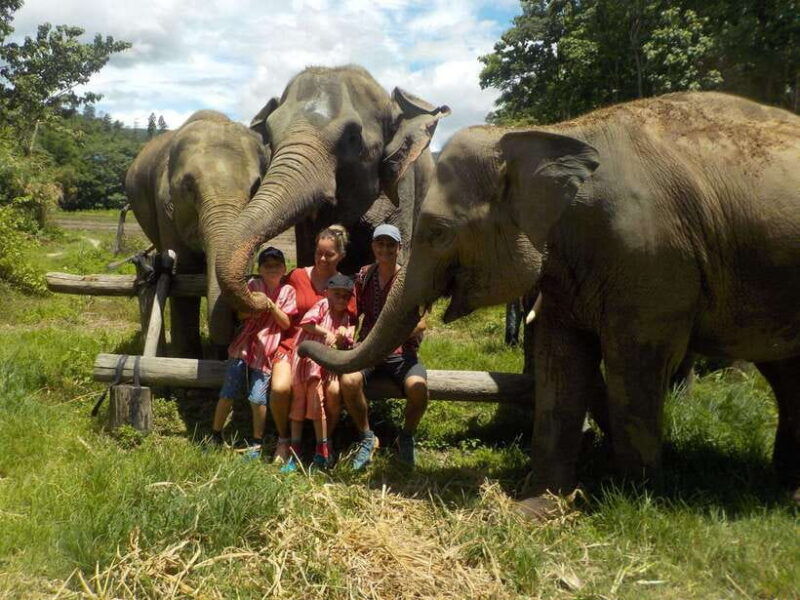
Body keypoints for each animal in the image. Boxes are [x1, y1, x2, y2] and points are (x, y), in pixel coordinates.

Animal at [299, 92, 800, 516]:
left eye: (439, 232)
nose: (306, 341)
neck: (543, 135)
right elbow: (561, 362)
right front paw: (536, 509)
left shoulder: (653, 260)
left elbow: (634, 364)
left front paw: (632, 500)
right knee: (785, 373)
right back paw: (784, 488)